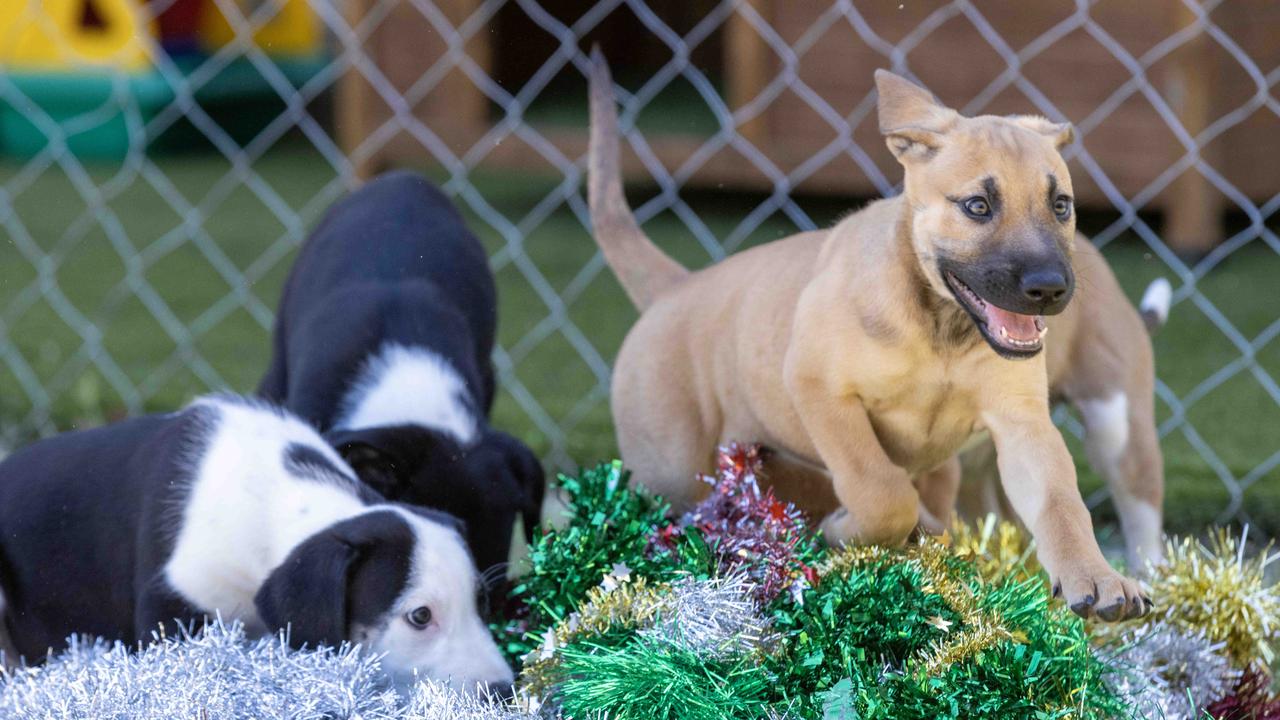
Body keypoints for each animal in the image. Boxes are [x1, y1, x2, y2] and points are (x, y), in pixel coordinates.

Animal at [588, 53, 1152, 620]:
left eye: (1061, 205)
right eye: (977, 206)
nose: (1050, 288)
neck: (940, 328)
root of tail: (675, 286)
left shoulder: (1022, 423)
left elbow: (1060, 502)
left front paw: (1096, 575)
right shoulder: (821, 389)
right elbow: (880, 490)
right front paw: (847, 529)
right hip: (671, 467)